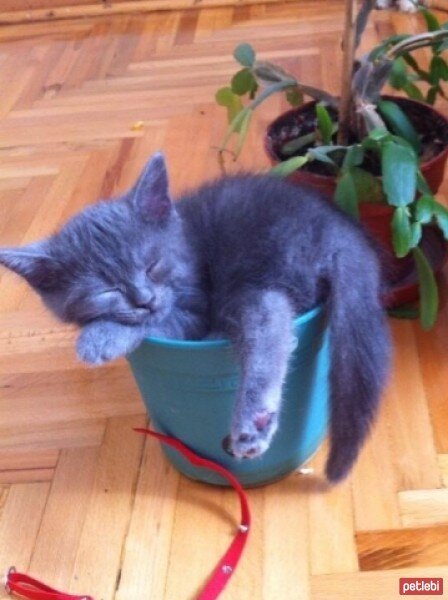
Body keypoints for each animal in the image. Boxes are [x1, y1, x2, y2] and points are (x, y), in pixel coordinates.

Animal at [0, 154, 390, 482]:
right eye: (108, 289)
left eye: (152, 266)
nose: (144, 299)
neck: (183, 244)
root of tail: (340, 230)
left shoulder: (194, 307)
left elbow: (155, 323)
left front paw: (100, 337)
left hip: (259, 271)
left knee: (268, 327)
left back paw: (252, 419)